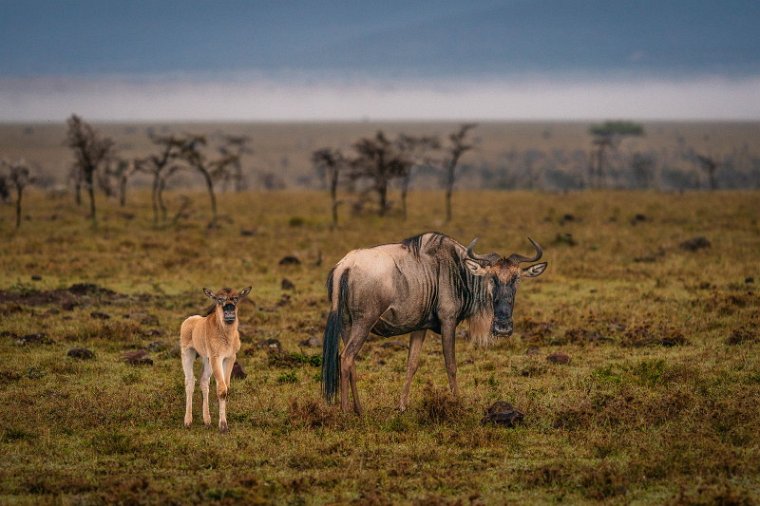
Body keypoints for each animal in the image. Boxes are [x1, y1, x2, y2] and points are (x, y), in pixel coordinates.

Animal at [180, 286, 251, 432]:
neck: (225, 335)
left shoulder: (229, 358)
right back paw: (188, 421)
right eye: (219, 299)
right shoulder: (216, 357)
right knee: (190, 381)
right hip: (187, 354)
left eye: (236, 299)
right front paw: (223, 426)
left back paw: (207, 420)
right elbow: (222, 389)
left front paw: (222, 423)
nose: (229, 310)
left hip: (206, 360)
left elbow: (226, 388)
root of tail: (189, 320)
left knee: (203, 381)